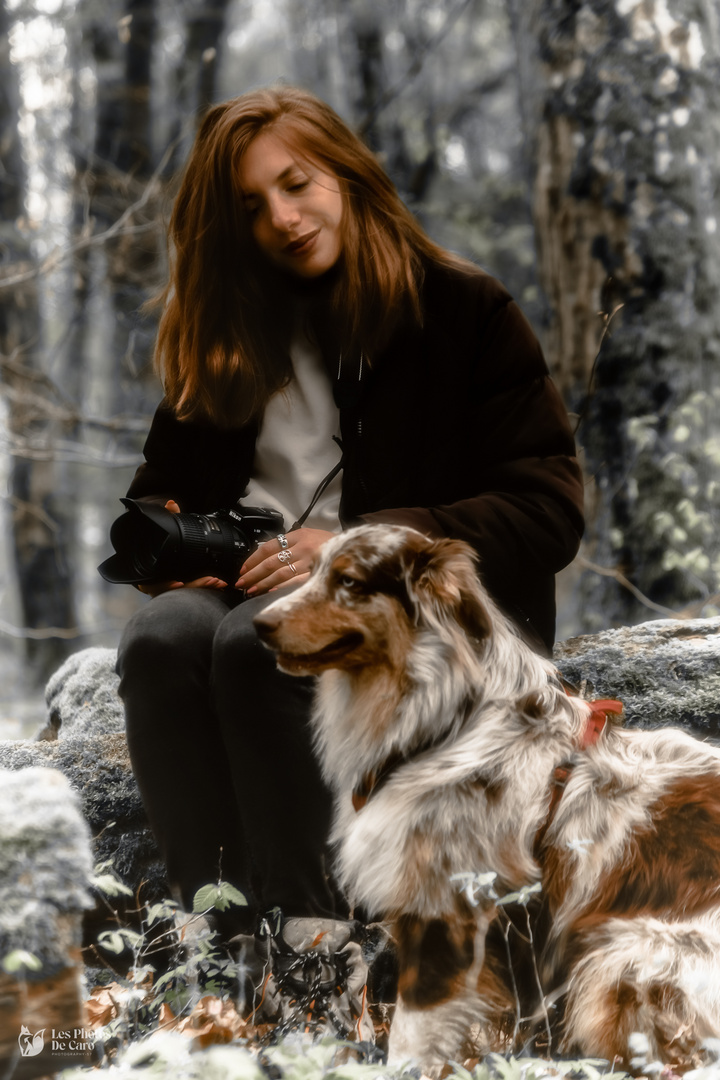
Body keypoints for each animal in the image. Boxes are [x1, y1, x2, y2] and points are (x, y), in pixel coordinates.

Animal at [252, 524, 720, 1071]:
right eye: (312, 571)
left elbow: (412, 1033)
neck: (447, 724)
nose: (259, 623)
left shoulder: (446, 911)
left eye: (348, 580)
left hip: (624, 956)